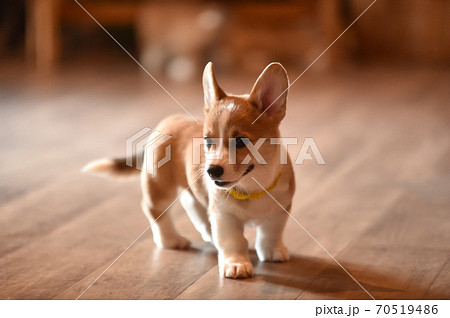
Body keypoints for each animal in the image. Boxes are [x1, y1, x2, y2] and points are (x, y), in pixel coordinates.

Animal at [84, 62, 296, 278]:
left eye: (240, 141)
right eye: (208, 141)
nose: (211, 171)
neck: (253, 185)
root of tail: (168, 121)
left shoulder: (279, 210)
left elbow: (271, 233)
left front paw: (272, 251)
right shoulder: (224, 216)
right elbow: (234, 241)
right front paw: (236, 264)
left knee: (191, 203)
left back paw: (208, 233)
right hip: (160, 186)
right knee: (155, 210)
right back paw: (171, 240)